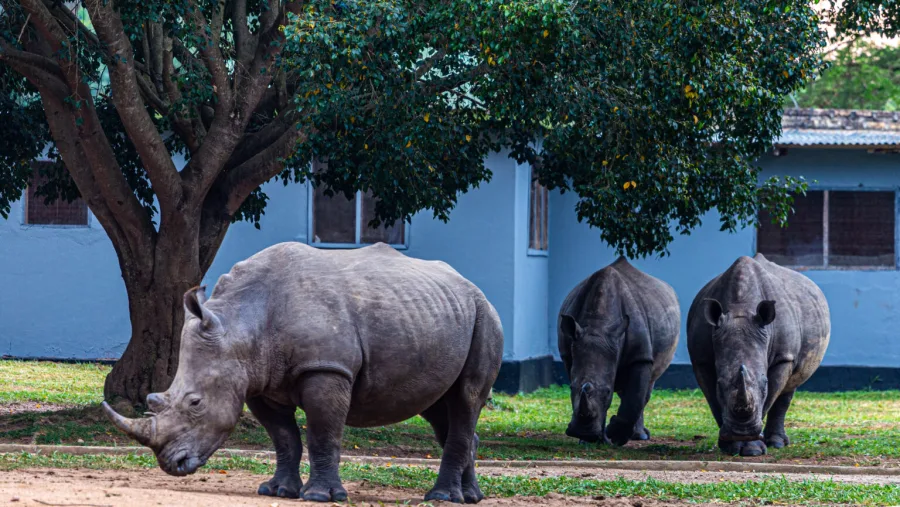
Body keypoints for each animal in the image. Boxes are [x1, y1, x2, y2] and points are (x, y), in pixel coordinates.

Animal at [101, 242, 504, 503]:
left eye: (195, 403)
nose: (171, 464)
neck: (242, 323)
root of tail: (473, 287)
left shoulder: (326, 369)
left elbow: (322, 433)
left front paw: (320, 496)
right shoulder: (258, 382)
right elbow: (284, 438)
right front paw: (277, 491)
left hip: (485, 316)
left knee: (466, 398)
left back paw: (442, 498)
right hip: (440, 315)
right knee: (440, 408)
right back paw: (470, 497)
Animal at [558, 257, 680, 446]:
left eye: (608, 391)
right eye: (570, 388)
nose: (582, 432)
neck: (597, 325)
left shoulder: (640, 356)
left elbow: (635, 398)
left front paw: (614, 436)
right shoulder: (569, 353)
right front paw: (589, 440)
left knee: (644, 390)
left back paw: (639, 436)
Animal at [687, 254, 830, 456]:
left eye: (765, 385)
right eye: (720, 385)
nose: (742, 432)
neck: (740, 310)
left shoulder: (783, 357)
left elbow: (770, 396)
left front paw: (752, 449)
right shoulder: (701, 359)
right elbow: (713, 401)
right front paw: (729, 445)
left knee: (789, 386)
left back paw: (777, 443)